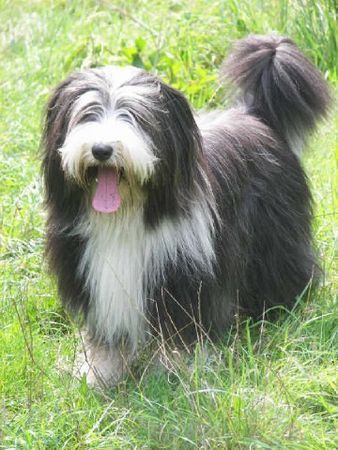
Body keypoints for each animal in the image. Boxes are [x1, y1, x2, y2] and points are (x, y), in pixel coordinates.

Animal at [42, 35, 330, 386]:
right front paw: (100, 374)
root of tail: (255, 114)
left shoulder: (184, 271)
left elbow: (181, 327)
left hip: (274, 234)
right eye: (87, 115)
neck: (128, 217)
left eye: (133, 116)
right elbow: (107, 335)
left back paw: (283, 310)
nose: (101, 149)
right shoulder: (93, 273)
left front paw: (175, 371)